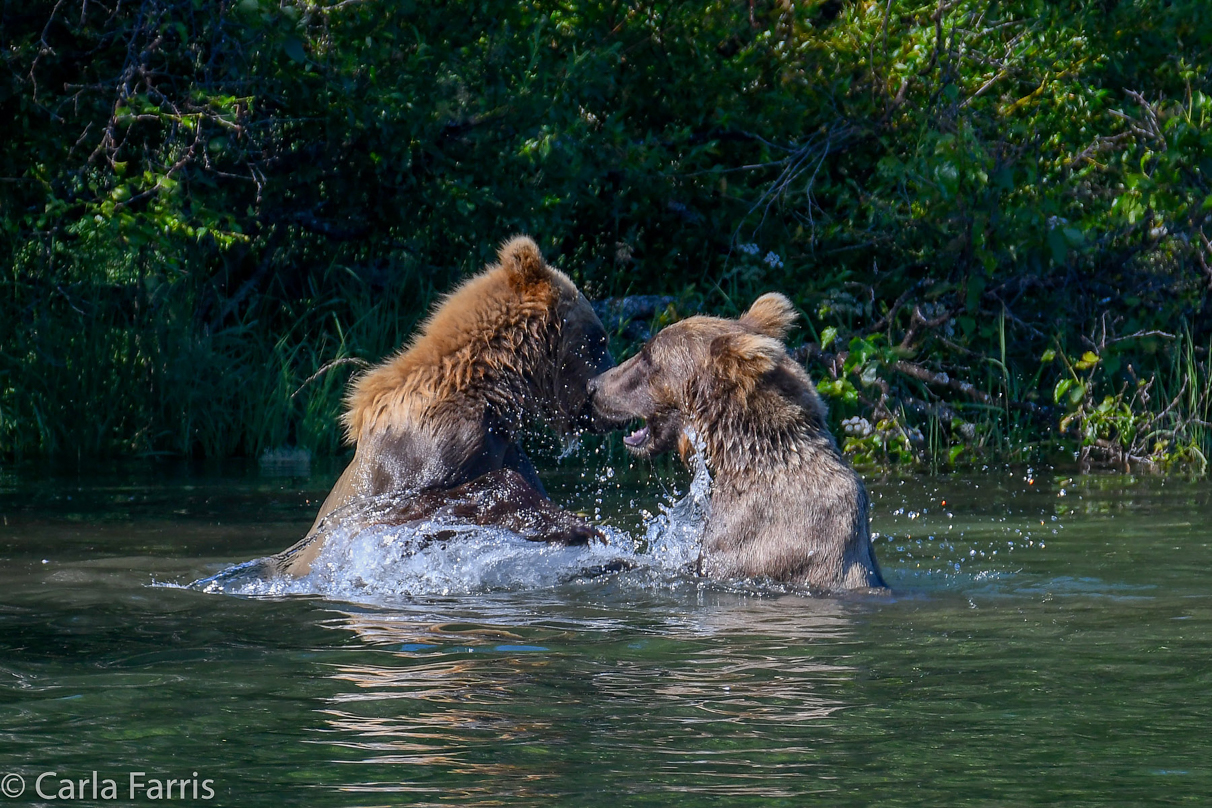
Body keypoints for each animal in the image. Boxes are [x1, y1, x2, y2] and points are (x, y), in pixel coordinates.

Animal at [277, 237, 615, 579]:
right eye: (600, 339)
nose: (609, 388)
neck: (492, 389)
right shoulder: (426, 455)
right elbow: (439, 501)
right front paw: (579, 527)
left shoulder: (503, 446)